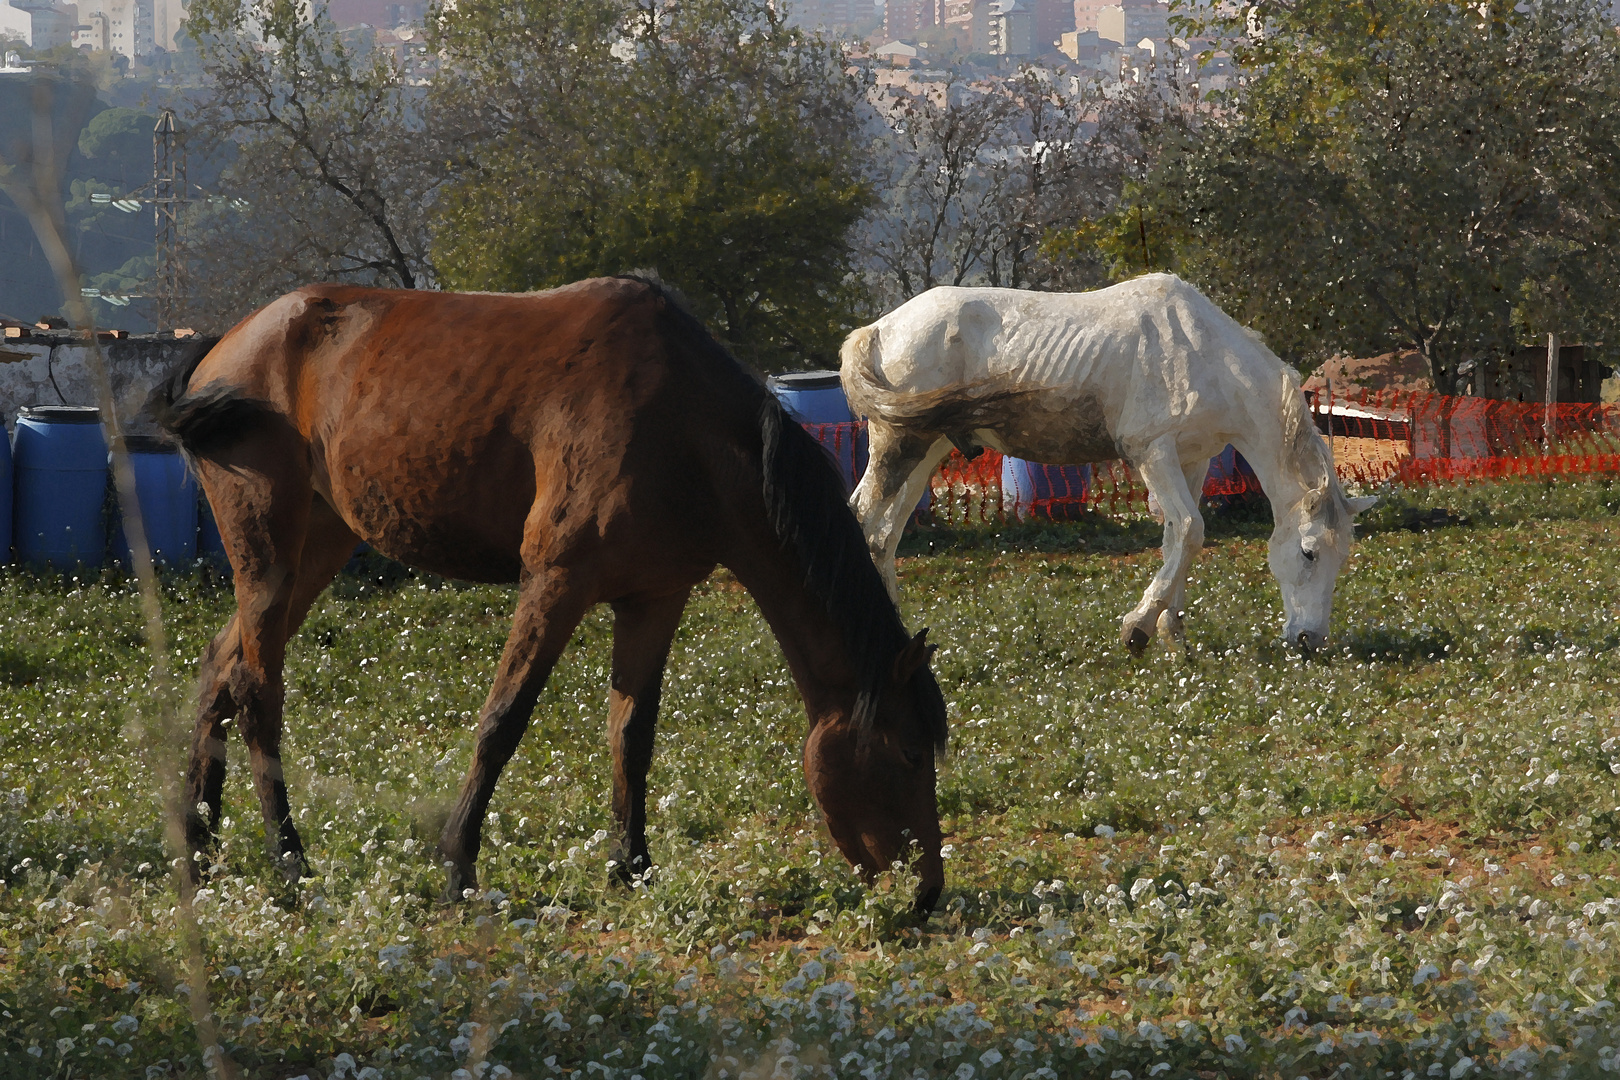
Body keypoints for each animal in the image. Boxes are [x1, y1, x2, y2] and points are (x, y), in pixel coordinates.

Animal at [152, 276, 946, 913]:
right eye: (909, 753)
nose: (928, 892)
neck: (683, 427)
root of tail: (226, 348)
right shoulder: (556, 582)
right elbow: (503, 721)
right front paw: (458, 867)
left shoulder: (654, 598)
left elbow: (632, 734)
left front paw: (632, 866)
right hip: (267, 550)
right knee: (257, 692)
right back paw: (290, 861)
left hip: (317, 546)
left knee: (220, 671)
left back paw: (201, 845)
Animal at [842, 275, 1373, 654]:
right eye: (1309, 552)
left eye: (1342, 555)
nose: (1310, 641)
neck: (1206, 355)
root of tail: (879, 331)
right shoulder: (1152, 451)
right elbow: (1189, 529)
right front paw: (1138, 629)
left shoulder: (1193, 459)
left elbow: (1178, 537)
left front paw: (1172, 633)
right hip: (899, 445)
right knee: (865, 519)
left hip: (927, 449)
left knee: (885, 536)